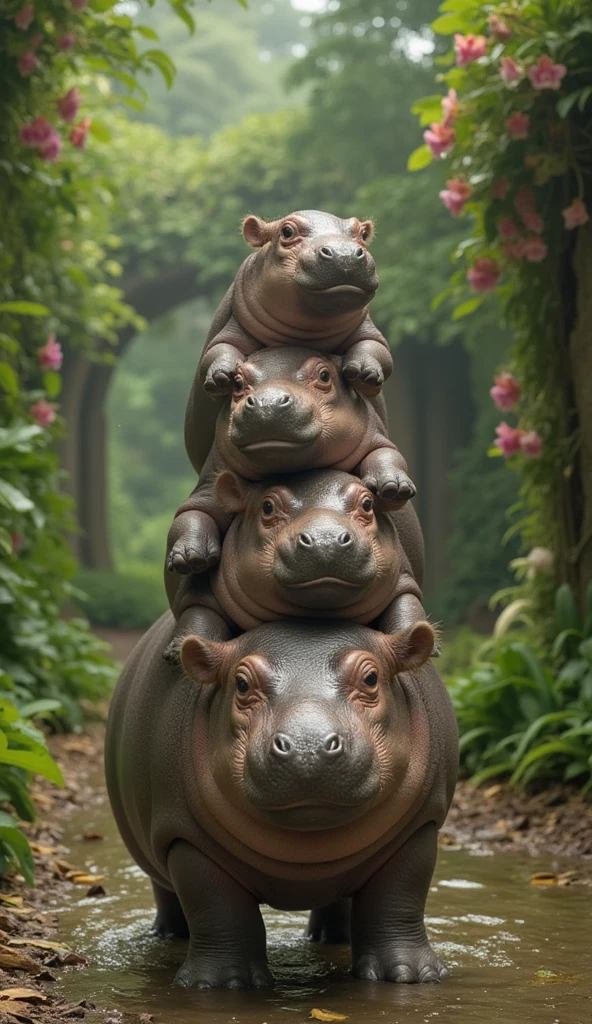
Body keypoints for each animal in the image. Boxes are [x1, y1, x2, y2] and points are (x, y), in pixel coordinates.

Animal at [104, 610, 456, 987]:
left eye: (372, 678)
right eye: (242, 684)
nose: (307, 748)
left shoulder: (418, 827)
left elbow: (400, 898)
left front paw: (410, 977)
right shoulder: (184, 838)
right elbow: (216, 907)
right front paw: (220, 984)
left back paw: (333, 939)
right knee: (168, 894)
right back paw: (168, 936)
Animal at [163, 471, 426, 663]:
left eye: (368, 504)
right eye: (267, 507)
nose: (326, 540)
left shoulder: (401, 580)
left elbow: (407, 605)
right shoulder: (205, 589)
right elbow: (199, 614)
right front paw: (177, 653)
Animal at [165, 348, 413, 581]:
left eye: (324, 376)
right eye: (236, 383)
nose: (268, 403)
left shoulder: (373, 438)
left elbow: (385, 453)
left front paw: (393, 486)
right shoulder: (210, 481)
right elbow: (194, 510)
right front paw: (189, 557)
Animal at [193, 207, 387, 399]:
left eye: (363, 234)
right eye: (287, 231)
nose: (345, 254)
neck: (307, 333)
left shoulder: (365, 328)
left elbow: (375, 347)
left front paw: (365, 371)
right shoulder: (236, 324)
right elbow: (219, 348)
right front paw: (221, 375)